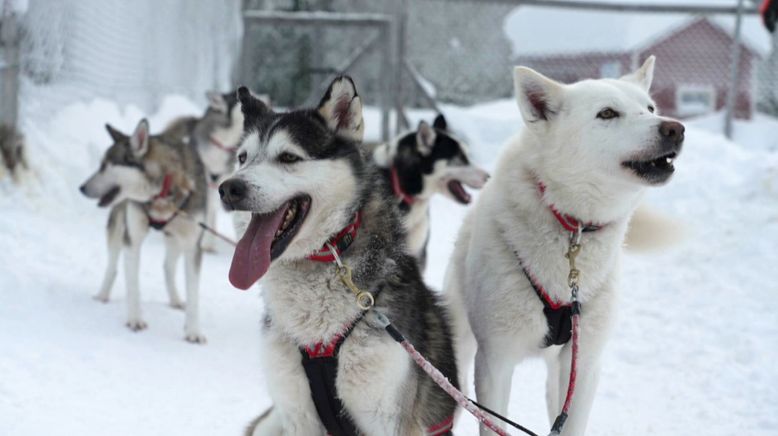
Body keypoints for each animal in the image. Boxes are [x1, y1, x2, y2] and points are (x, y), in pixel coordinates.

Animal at [446, 56, 684, 434]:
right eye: (607, 113)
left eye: (649, 108)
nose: (675, 128)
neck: (575, 226)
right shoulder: (495, 361)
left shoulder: (583, 364)